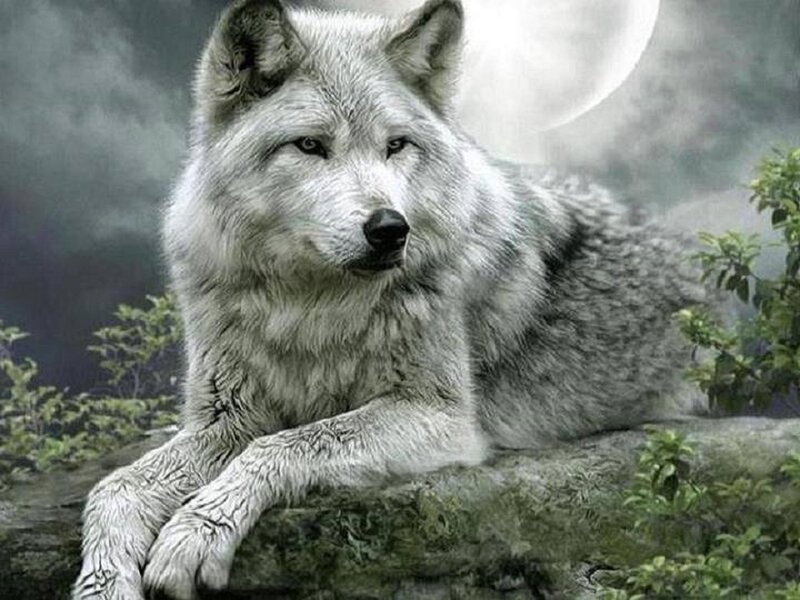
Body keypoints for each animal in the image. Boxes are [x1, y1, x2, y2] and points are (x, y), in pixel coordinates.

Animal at [73, 0, 710, 598]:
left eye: (395, 146)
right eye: (310, 146)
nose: (389, 229)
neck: (309, 307)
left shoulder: (442, 418)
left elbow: (284, 445)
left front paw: (194, 534)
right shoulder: (226, 419)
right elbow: (114, 486)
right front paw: (103, 582)